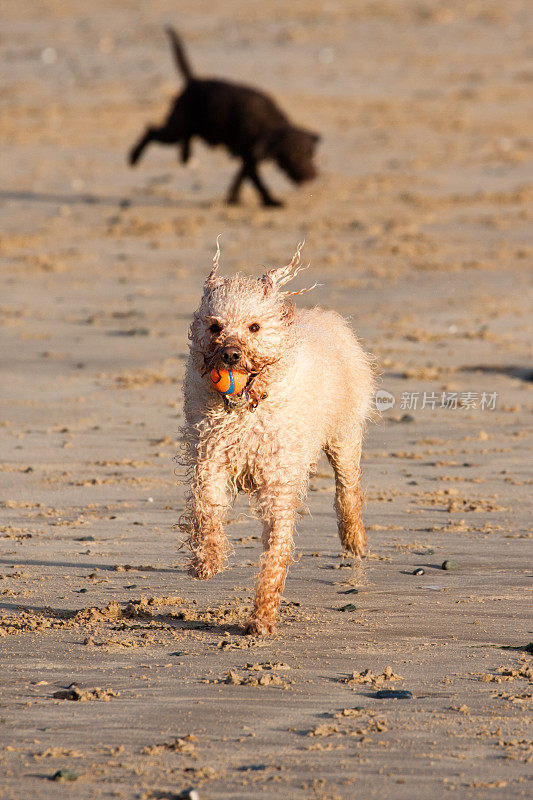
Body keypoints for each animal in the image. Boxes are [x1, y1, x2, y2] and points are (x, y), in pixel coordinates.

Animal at [129, 28, 320, 206]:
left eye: (311, 154)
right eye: (294, 156)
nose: (312, 176)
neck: (268, 126)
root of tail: (193, 81)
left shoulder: (248, 157)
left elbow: (241, 177)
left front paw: (234, 198)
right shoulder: (248, 156)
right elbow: (257, 181)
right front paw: (270, 202)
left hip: (186, 129)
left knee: (180, 139)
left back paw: (184, 156)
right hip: (175, 130)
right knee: (151, 131)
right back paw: (134, 158)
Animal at [180, 241, 374, 636]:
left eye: (254, 327)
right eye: (215, 325)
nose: (230, 354)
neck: (245, 412)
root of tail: (329, 320)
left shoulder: (278, 482)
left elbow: (276, 550)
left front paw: (263, 616)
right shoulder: (210, 460)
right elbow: (206, 511)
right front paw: (208, 561)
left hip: (344, 435)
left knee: (348, 491)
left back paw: (354, 539)